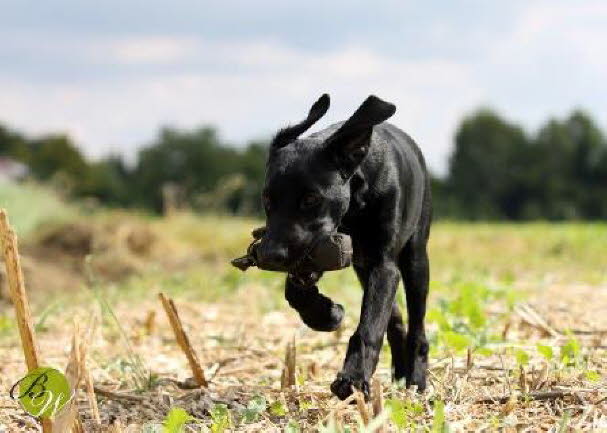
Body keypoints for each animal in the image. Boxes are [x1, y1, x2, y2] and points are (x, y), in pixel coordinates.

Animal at [256, 93, 432, 398]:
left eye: (311, 199)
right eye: (267, 199)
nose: (268, 256)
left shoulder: (383, 264)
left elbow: (370, 325)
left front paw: (354, 377)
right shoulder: (320, 252)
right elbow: (295, 292)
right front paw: (327, 314)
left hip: (415, 259)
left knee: (417, 326)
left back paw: (416, 381)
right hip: (363, 266)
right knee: (396, 319)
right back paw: (399, 373)